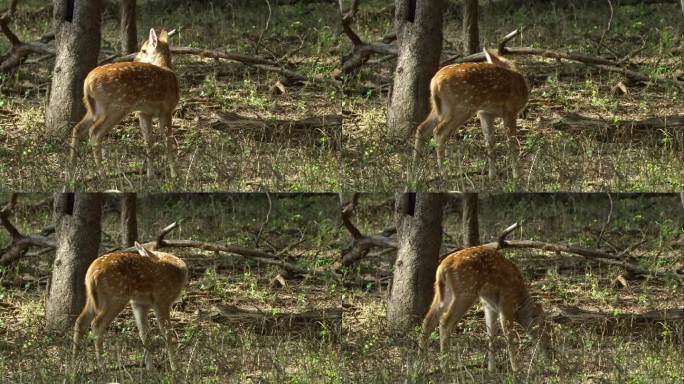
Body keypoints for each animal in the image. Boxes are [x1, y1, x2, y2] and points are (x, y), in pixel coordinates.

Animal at [70, 28, 179, 178]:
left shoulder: (144, 113)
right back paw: (102, 175)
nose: (135, 59)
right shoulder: (167, 109)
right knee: (95, 133)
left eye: (143, 50)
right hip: (115, 107)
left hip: (94, 108)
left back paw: (70, 173)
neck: (167, 69)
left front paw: (150, 175)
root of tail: (88, 83)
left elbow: (148, 141)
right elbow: (167, 140)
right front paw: (174, 174)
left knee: (77, 128)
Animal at [72, 242, 187, 370]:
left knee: (80, 321)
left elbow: (144, 334)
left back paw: (74, 364)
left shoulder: (139, 304)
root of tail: (92, 274)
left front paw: (149, 368)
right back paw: (102, 366)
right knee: (96, 324)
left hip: (92, 298)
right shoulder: (162, 300)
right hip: (117, 296)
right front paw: (175, 368)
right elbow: (166, 332)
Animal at [412, 48, 528, 180]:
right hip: (461, 107)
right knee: (438, 131)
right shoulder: (510, 110)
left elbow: (490, 142)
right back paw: (444, 173)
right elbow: (511, 142)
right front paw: (517, 175)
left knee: (422, 128)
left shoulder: (485, 113)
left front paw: (492, 175)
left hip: (440, 108)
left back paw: (414, 173)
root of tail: (434, 82)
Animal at [420, 225, 552, 372]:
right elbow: (508, 332)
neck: (519, 299)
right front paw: (515, 368)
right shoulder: (506, 300)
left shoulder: (489, 305)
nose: (549, 352)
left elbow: (491, 333)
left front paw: (491, 368)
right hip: (465, 291)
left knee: (428, 320)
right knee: (445, 321)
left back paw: (420, 363)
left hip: (442, 292)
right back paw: (444, 366)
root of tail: (442, 268)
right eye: (544, 328)